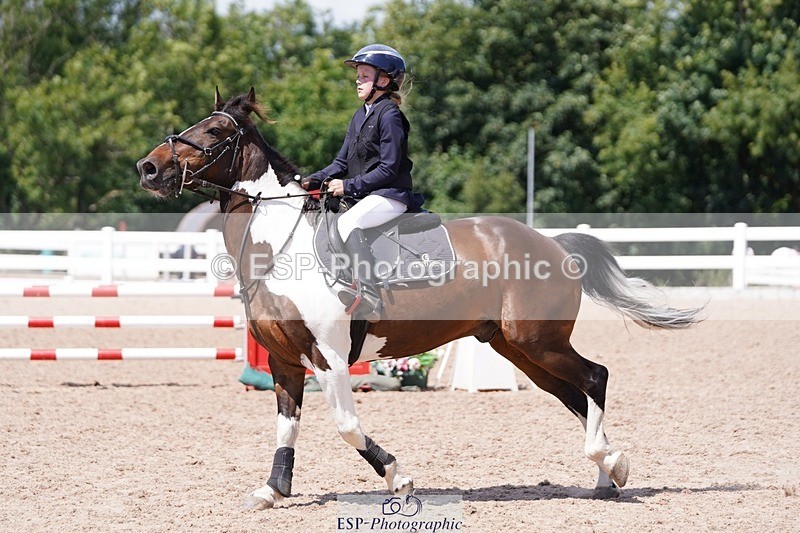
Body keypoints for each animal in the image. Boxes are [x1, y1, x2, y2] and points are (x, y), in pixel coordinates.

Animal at [136, 88, 702, 509]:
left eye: (214, 132)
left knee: (594, 378)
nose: (148, 168)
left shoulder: (329, 357)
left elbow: (346, 426)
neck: (281, 243)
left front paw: (398, 478)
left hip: (538, 341)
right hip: (518, 348)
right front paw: (273, 490)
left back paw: (613, 466)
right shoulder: (284, 360)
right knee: (574, 394)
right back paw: (606, 474)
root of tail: (552, 244)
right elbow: (285, 428)